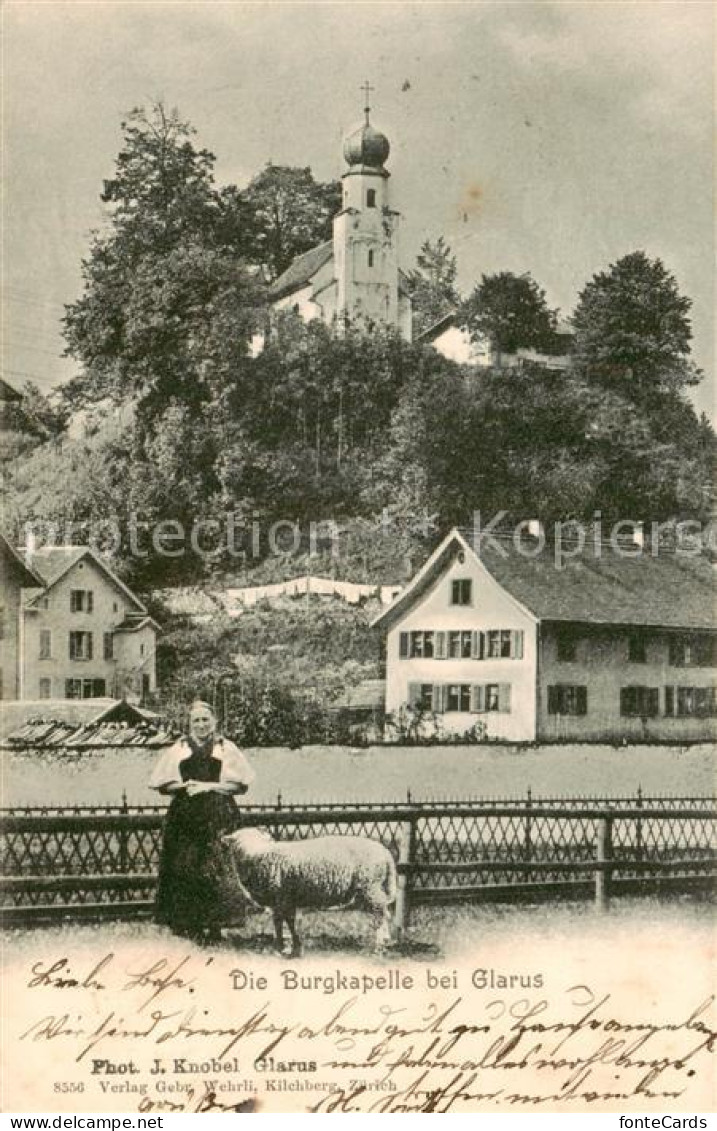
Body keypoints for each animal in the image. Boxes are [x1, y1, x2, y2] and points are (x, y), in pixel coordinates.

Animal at [218, 827, 395, 959]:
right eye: (234, 843)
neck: (255, 852)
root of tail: (386, 853)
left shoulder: (282, 897)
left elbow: (285, 922)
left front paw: (285, 949)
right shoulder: (282, 900)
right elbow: (283, 922)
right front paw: (290, 948)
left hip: (369, 886)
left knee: (379, 916)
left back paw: (377, 948)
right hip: (373, 888)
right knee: (384, 913)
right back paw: (384, 943)